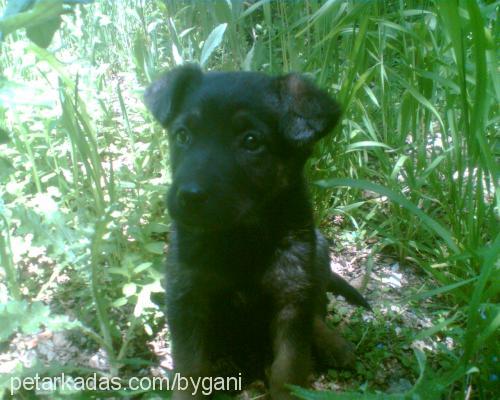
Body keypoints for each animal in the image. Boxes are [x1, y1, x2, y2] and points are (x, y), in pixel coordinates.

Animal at [145, 65, 372, 396]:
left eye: (251, 141)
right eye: (183, 135)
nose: (189, 196)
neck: (239, 238)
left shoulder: (291, 298)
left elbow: (288, 368)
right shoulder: (186, 296)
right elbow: (191, 368)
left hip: (317, 254)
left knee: (316, 311)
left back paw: (333, 343)